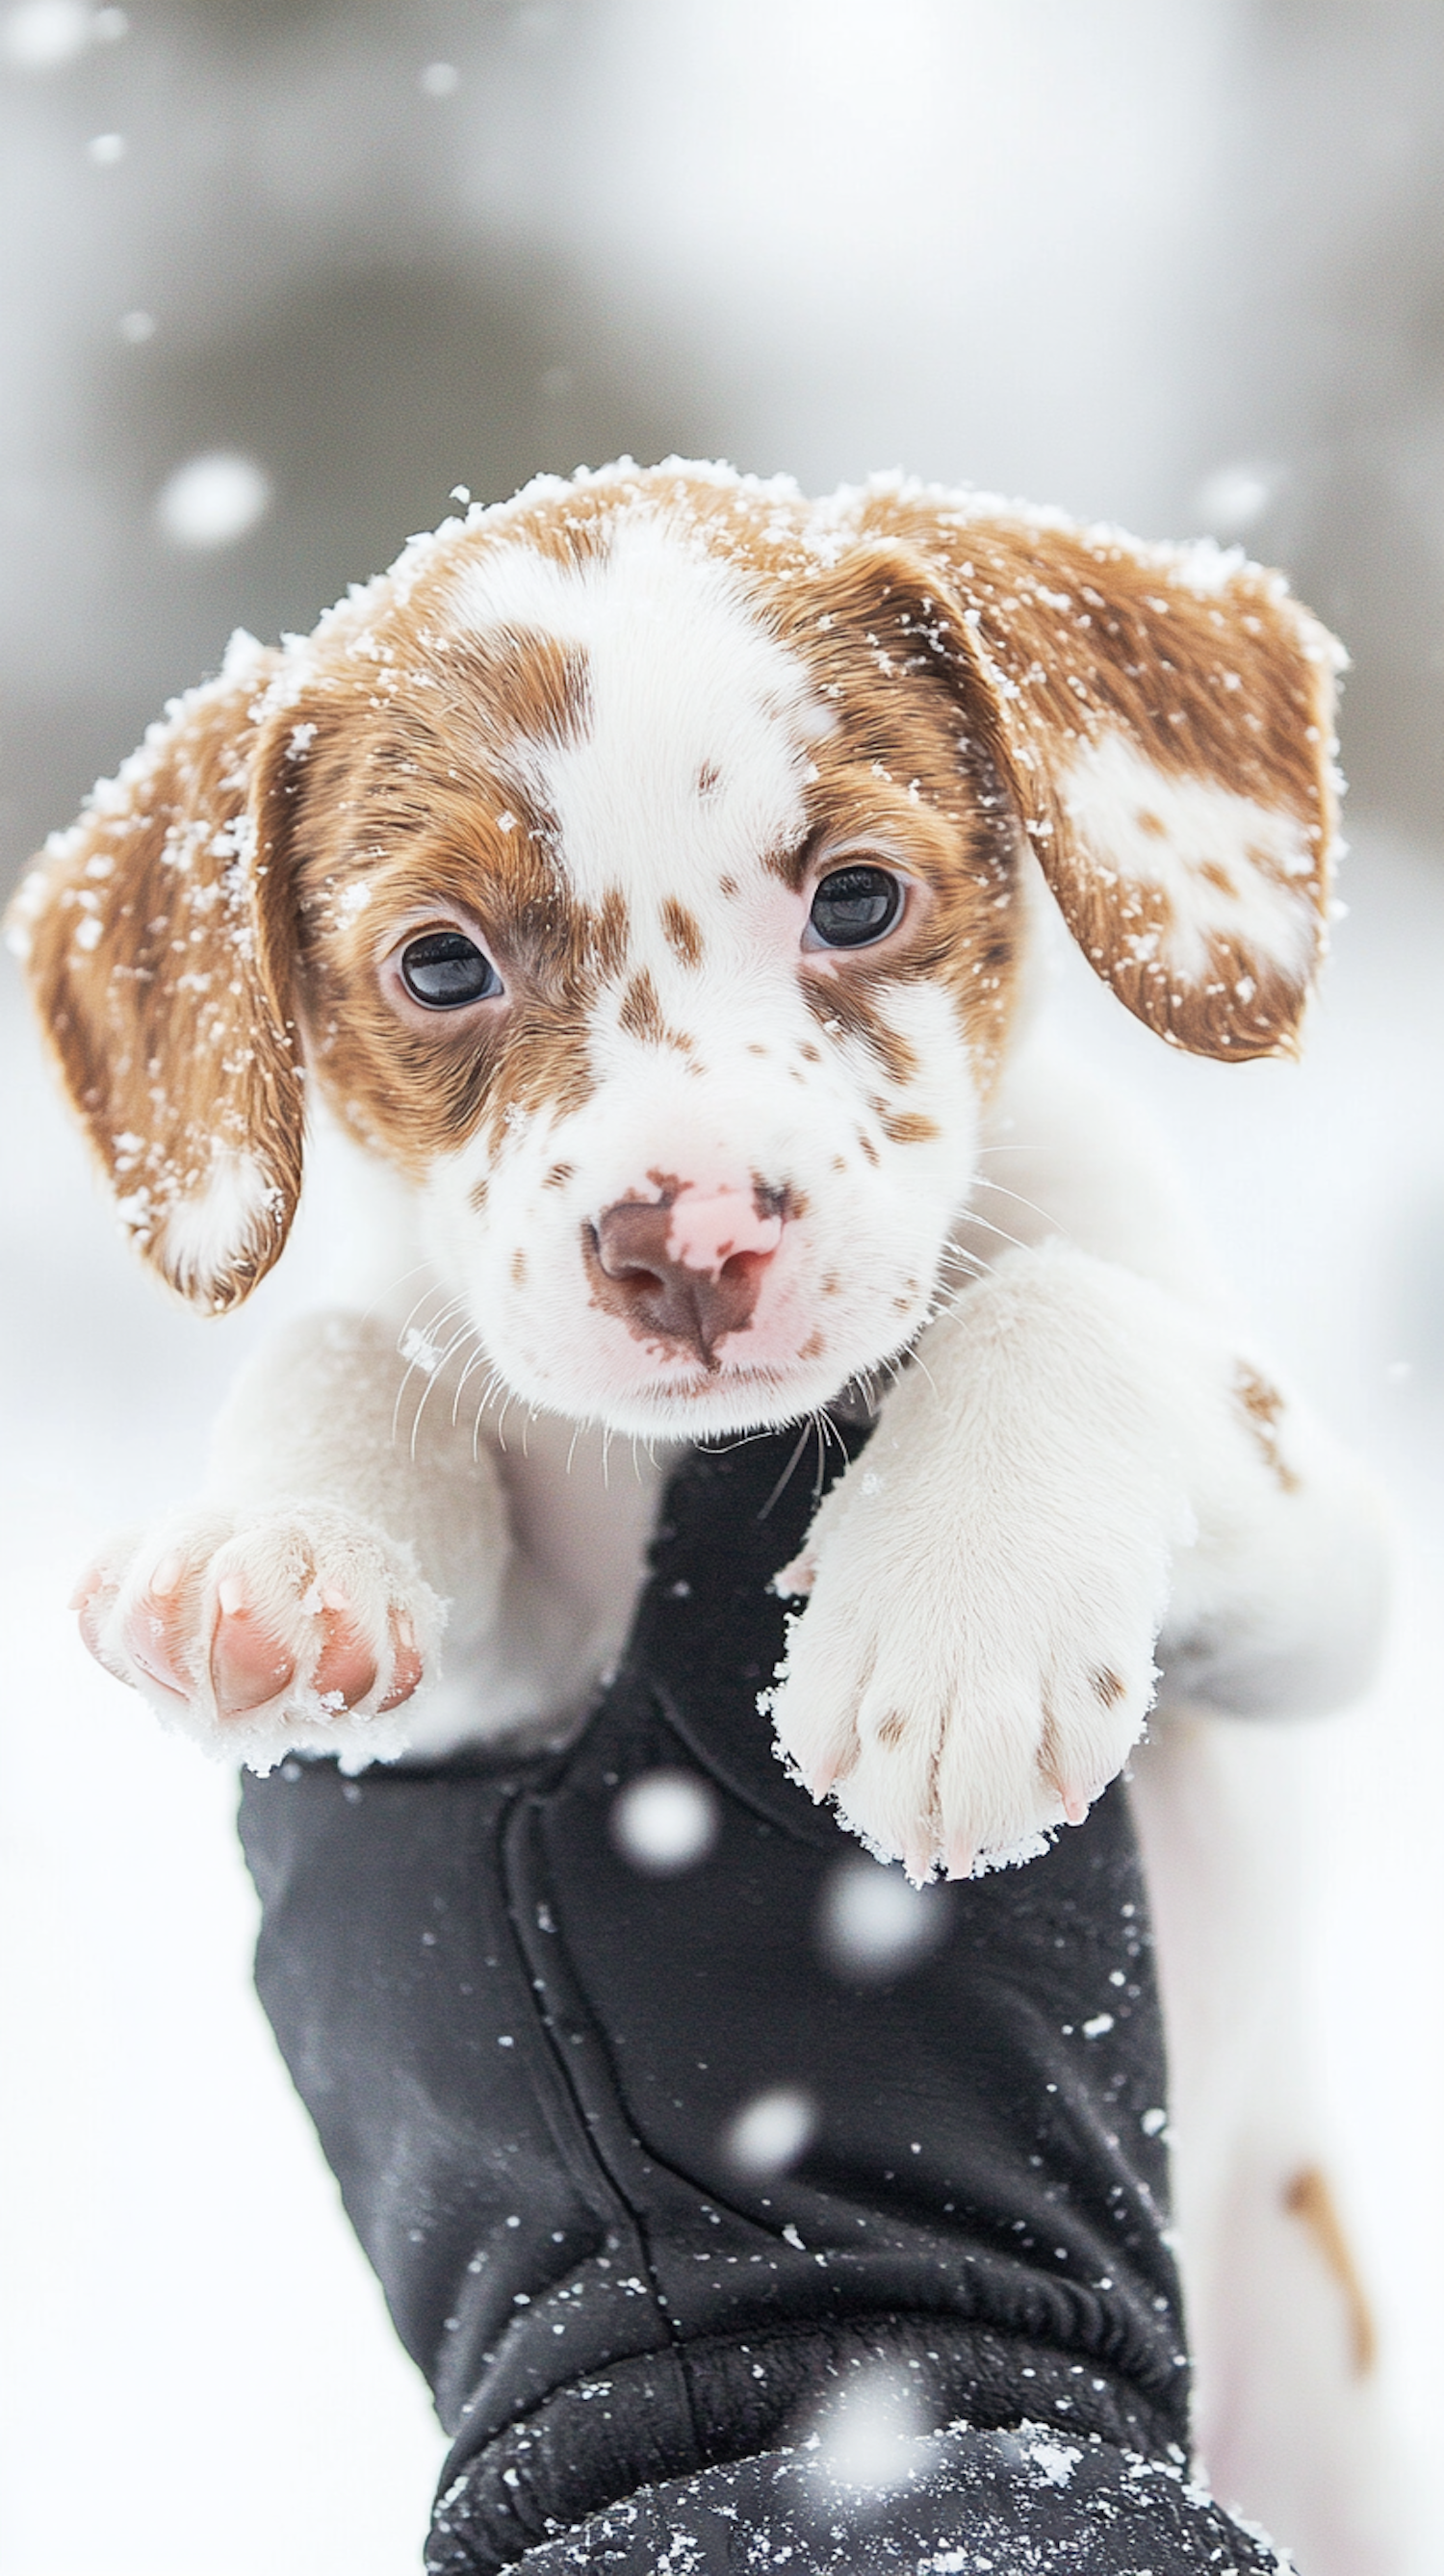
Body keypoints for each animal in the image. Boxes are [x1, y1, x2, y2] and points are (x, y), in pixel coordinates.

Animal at [5, 469, 1400, 2576]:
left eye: (858, 900)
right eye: (440, 966)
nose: (691, 1239)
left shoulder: (1338, 1573)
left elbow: (1067, 1301)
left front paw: (953, 1627)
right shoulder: (496, 1681)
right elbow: (351, 1348)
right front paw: (279, 1550)